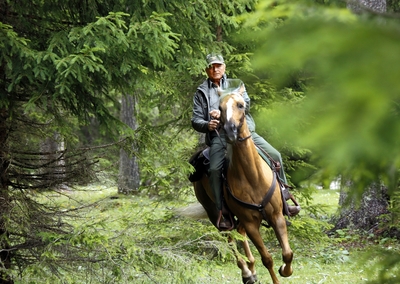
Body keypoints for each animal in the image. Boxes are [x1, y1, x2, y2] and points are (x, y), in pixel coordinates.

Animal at [188, 84, 294, 284]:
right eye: (219, 108)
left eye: (241, 105)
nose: (230, 131)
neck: (252, 177)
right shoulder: (251, 223)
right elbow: (267, 258)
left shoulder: (276, 215)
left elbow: (287, 253)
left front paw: (285, 270)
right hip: (215, 214)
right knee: (230, 238)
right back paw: (246, 271)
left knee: (240, 232)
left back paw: (251, 269)